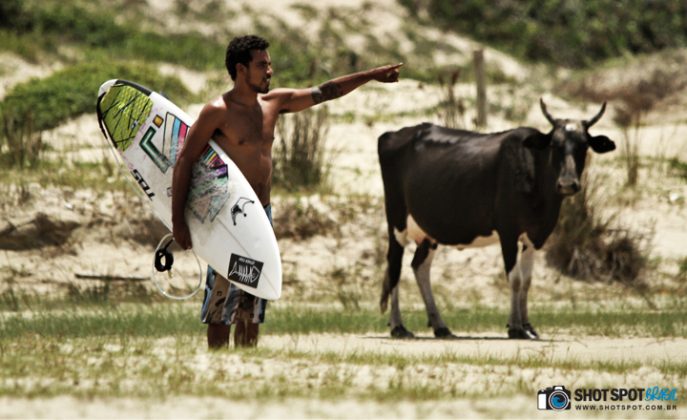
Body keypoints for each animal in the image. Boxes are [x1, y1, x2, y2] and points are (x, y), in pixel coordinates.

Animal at [378, 100, 616, 340]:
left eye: (583, 145)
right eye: (555, 145)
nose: (567, 183)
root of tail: (394, 134)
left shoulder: (534, 235)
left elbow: (527, 281)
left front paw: (528, 326)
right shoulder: (508, 232)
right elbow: (515, 278)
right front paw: (516, 327)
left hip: (429, 232)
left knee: (420, 267)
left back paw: (440, 326)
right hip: (396, 220)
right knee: (395, 266)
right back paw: (398, 326)